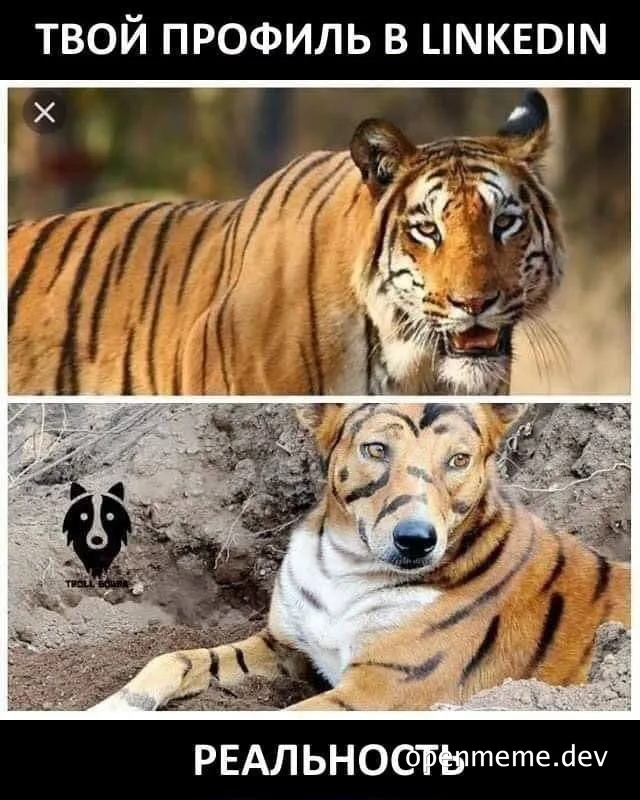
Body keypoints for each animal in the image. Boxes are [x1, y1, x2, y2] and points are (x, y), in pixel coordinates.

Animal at [88, 403, 629, 713]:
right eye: (376, 449)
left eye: (458, 460)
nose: (416, 539)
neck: (346, 566)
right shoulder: (286, 646)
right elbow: (174, 659)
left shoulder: (377, 690)